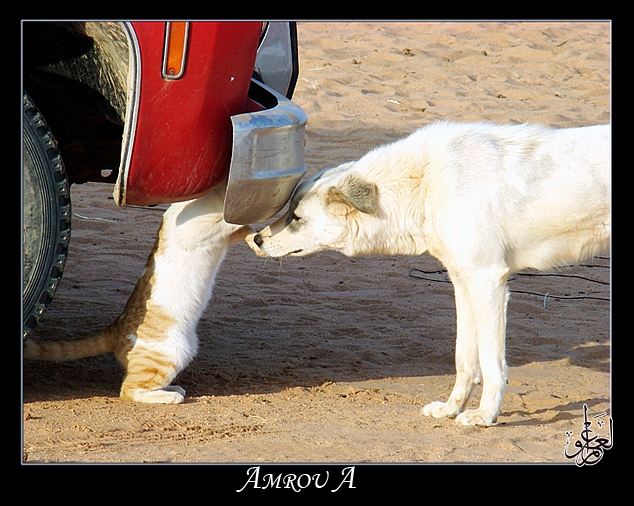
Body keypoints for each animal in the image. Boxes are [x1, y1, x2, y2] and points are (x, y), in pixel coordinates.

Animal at [24, 186, 252, 404]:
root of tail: (115, 328)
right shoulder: (193, 229)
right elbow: (222, 221)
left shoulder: (222, 237)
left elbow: (236, 229)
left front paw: (252, 236)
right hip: (173, 352)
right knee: (129, 390)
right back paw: (170, 396)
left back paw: (172, 388)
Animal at [246, 122, 608, 426]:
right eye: (288, 211)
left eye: (296, 217)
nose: (257, 240)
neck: (425, 182)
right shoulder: (463, 281)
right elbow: (464, 358)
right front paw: (451, 409)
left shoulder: (488, 280)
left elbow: (492, 364)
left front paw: (485, 416)